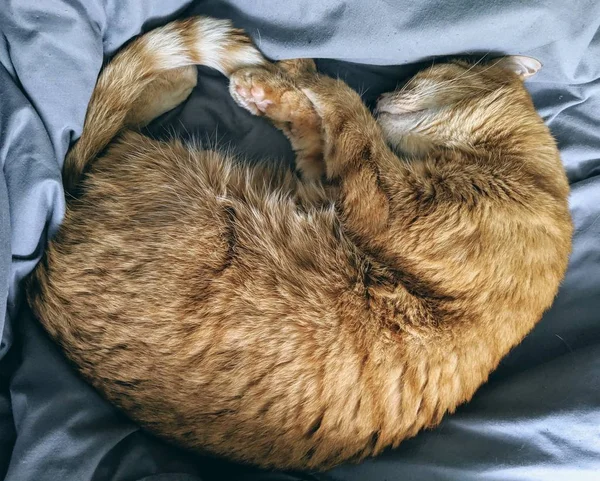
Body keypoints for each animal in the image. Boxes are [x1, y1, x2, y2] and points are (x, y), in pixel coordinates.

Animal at [25, 14, 576, 468]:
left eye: (415, 79)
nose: (383, 98)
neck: (522, 172)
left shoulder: (390, 204)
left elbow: (345, 107)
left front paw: (304, 73)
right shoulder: (329, 183)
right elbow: (320, 130)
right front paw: (272, 92)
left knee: (110, 131)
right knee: (111, 127)